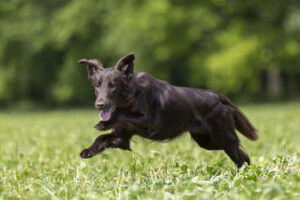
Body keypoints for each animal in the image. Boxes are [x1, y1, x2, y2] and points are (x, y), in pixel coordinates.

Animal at [78, 52, 258, 167]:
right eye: (97, 86)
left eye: (113, 86)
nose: (99, 104)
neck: (130, 95)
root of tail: (216, 95)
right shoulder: (121, 136)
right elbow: (102, 139)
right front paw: (87, 151)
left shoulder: (149, 123)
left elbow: (121, 114)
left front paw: (101, 124)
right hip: (207, 141)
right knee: (243, 155)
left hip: (223, 136)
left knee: (239, 158)